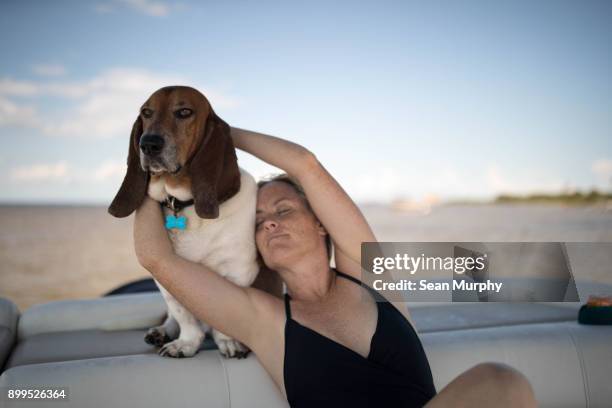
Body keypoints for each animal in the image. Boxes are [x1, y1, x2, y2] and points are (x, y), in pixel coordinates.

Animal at [110, 85, 258, 356]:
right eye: (146, 112)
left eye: (184, 112)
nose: (148, 144)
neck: (183, 204)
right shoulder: (166, 276)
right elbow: (182, 314)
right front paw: (186, 343)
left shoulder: (238, 271)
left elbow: (225, 314)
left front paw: (228, 341)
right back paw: (161, 331)